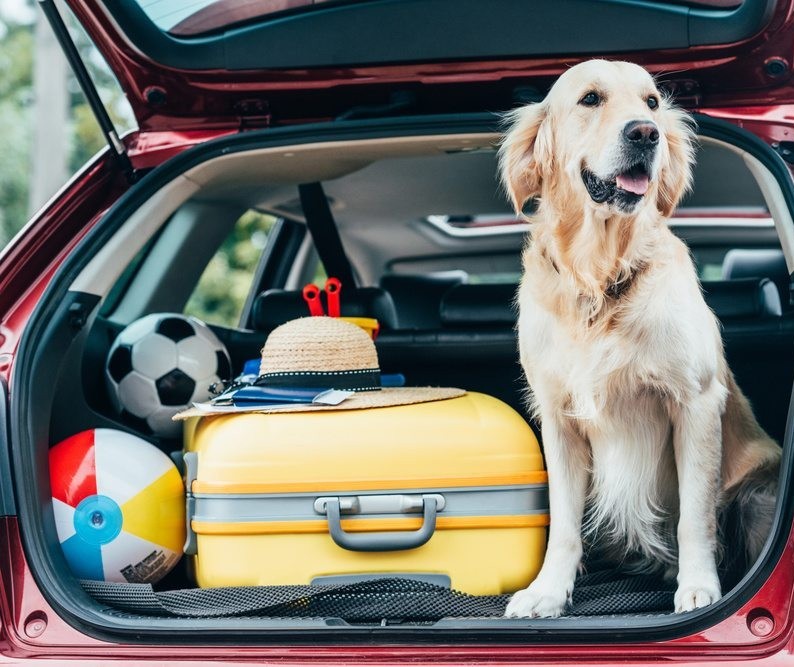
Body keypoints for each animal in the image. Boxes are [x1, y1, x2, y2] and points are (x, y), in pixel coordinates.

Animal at [498, 60, 776, 620]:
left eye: (651, 102)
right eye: (590, 99)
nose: (646, 134)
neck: (600, 277)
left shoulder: (694, 402)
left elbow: (695, 516)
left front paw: (699, 586)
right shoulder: (558, 417)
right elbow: (563, 524)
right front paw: (547, 591)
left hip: (757, 492)